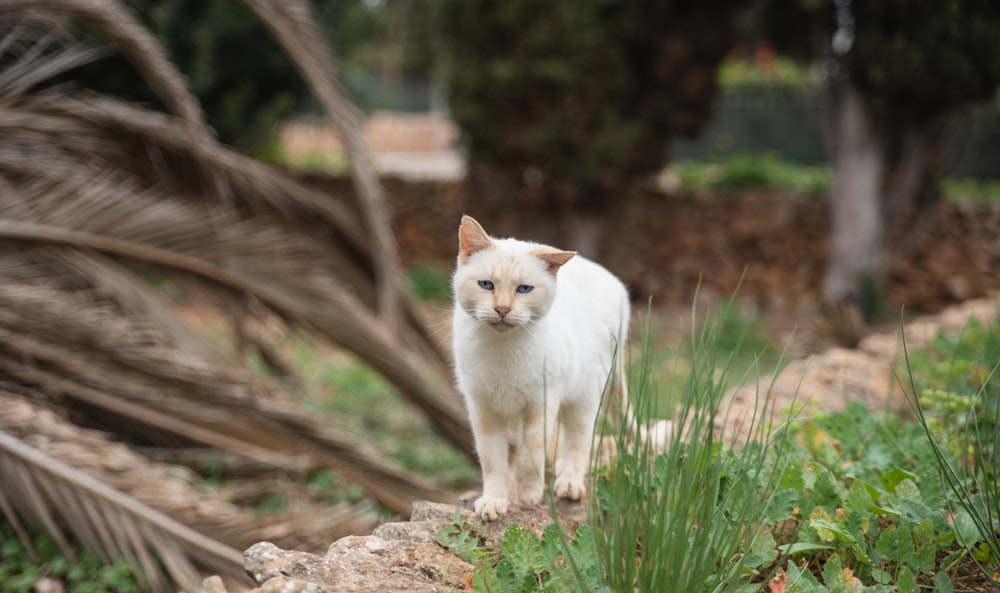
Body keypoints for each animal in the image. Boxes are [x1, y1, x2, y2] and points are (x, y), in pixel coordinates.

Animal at [452, 216, 632, 520]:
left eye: (524, 289)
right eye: (486, 285)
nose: (502, 309)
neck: (502, 349)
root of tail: (611, 278)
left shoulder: (542, 404)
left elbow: (531, 454)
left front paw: (527, 495)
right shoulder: (483, 410)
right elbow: (492, 461)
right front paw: (494, 501)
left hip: (585, 394)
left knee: (579, 439)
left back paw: (569, 482)